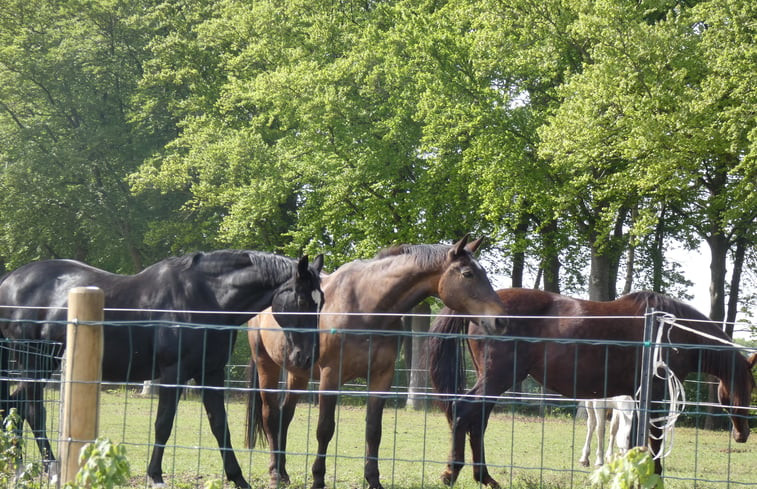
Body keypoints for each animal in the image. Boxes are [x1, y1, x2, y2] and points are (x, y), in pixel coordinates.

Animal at [0, 250, 322, 486]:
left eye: (322, 302)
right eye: (302, 299)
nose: (307, 358)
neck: (207, 299)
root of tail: (9, 281)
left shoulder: (211, 374)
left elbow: (220, 425)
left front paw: (238, 478)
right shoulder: (173, 373)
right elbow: (163, 424)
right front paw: (155, 475)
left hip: (43, 364)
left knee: (16, 405)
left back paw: (18, 465)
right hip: (35, 362)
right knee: (31, 409)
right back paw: (47, 467)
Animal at [245, 235, 510, 488]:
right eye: (467, 273)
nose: (501, 320)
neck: (365, 307)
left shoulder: (381, 377)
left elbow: (374, 431)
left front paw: (373, 479)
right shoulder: (330, 376)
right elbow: (325, 429)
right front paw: (318, 479)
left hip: (298, 372)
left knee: (285, 416)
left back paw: (283, 473)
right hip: (267, 367)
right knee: (271, 417)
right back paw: (274, 474)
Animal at [428, 288, 752, 486]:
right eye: (749, 385)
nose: (743, 433)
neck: (669, 330)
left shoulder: (636, 399)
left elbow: (634, 440)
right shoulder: (655, 396)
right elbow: (654, 439)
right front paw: (655, 476)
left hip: (494, 383)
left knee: (476, 422)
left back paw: (485, 478)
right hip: (496, 380)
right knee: (463, 413)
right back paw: (452, 473)